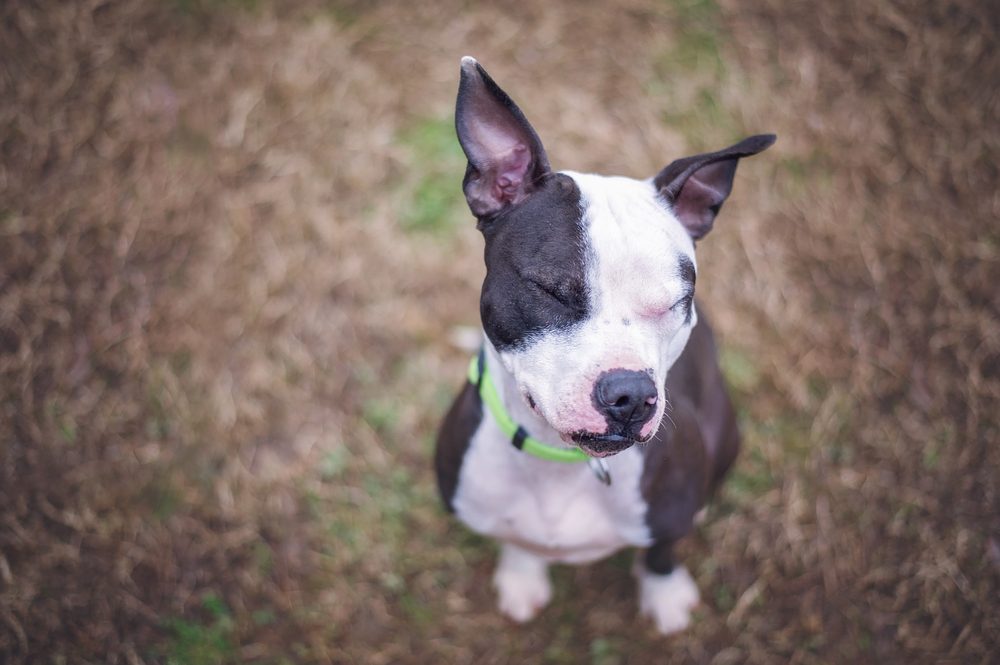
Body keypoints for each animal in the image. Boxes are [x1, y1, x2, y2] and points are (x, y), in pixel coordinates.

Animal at [436, 57, 772, 632]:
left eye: (676, 301)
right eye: (550, 289)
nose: (630, 395)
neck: (558, 461)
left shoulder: (667, 515)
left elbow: (661, 550)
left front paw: (664, 594)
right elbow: (515, 540)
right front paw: (521, 575)